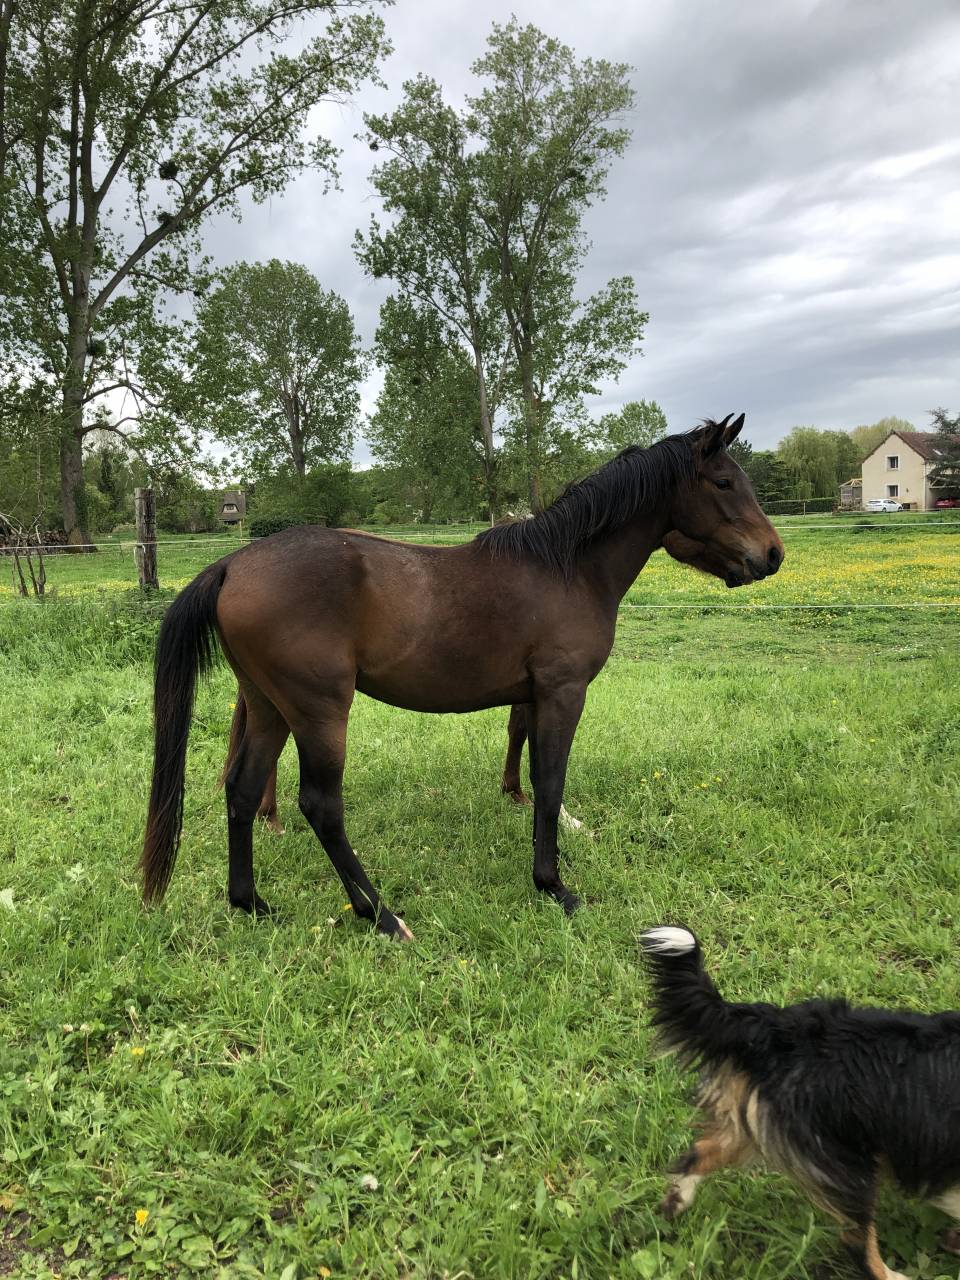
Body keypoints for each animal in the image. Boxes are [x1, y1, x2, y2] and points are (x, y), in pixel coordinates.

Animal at [141, 415, 783, 939]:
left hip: (269, 707)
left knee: (243, 790)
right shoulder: (563, 693)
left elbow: (526, 764)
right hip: (319, 712)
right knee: (321, 806)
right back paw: (381, 915)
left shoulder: (532, 696)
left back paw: (251, 904)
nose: (772, 554)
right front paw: (554, 887)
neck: (568, 567)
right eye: (724, 483)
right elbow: (551, 783)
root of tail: (233, 564)